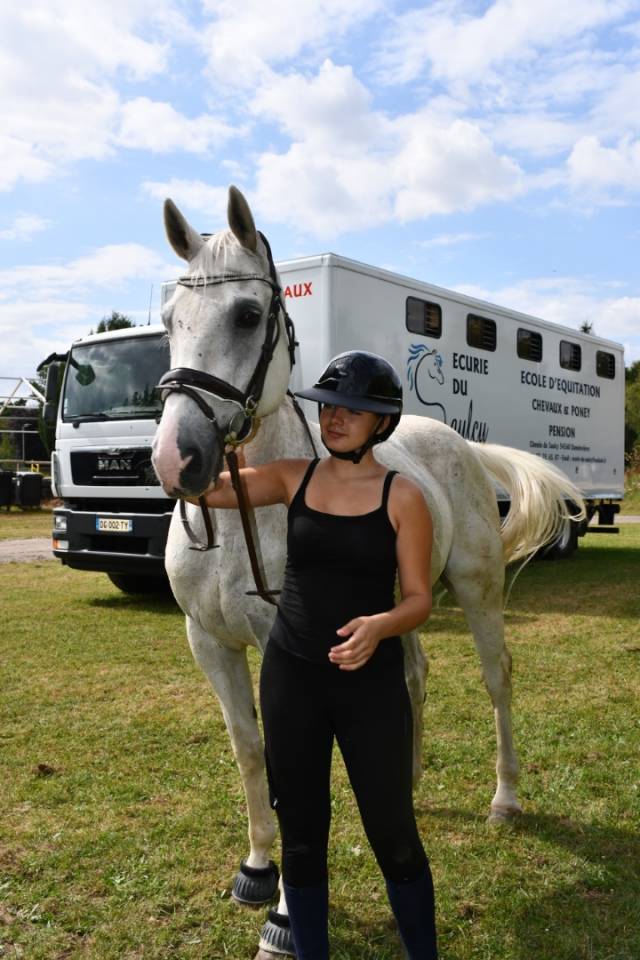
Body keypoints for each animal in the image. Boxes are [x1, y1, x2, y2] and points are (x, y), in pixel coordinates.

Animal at [151, 186, 584, 958]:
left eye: (248, 315)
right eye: (171, 320)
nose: (178, 459)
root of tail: (456, 442)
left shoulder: (286, 654)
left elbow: (294, 772)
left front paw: (286, 918)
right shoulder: (209, 643)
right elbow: (251, 751)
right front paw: (257, 869)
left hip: (477, 591)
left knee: (497, 679)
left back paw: (505, 799)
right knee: (413, 676)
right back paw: (405, 783)